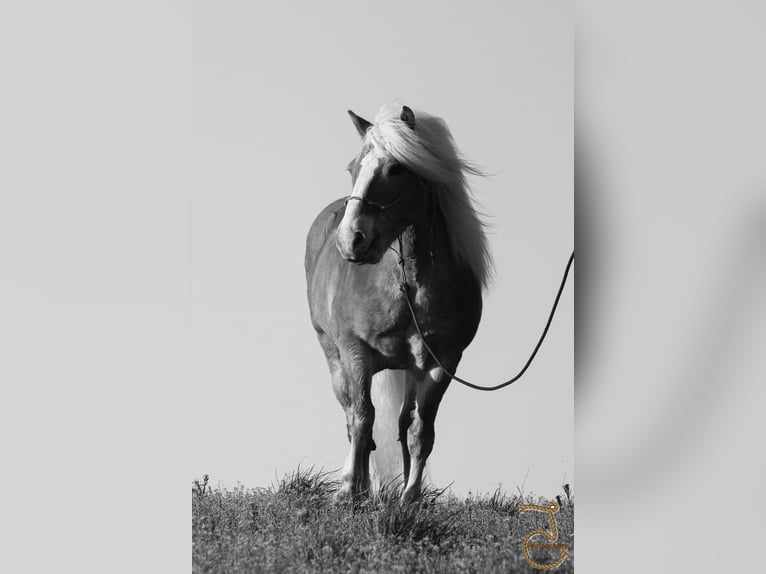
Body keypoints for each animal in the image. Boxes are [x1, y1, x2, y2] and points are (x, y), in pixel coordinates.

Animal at [306, 104, 492, 504]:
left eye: (396, 169)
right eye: (353, 167)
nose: (351, 241)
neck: (409, 287)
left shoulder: (441, 363)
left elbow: (421, 430)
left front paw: (411, 496)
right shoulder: (356, 353)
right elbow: (362, 417)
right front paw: (349, 488)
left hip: (411, 369)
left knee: (402, 421)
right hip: (335, 358)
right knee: (353, 416)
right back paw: (357, 484)